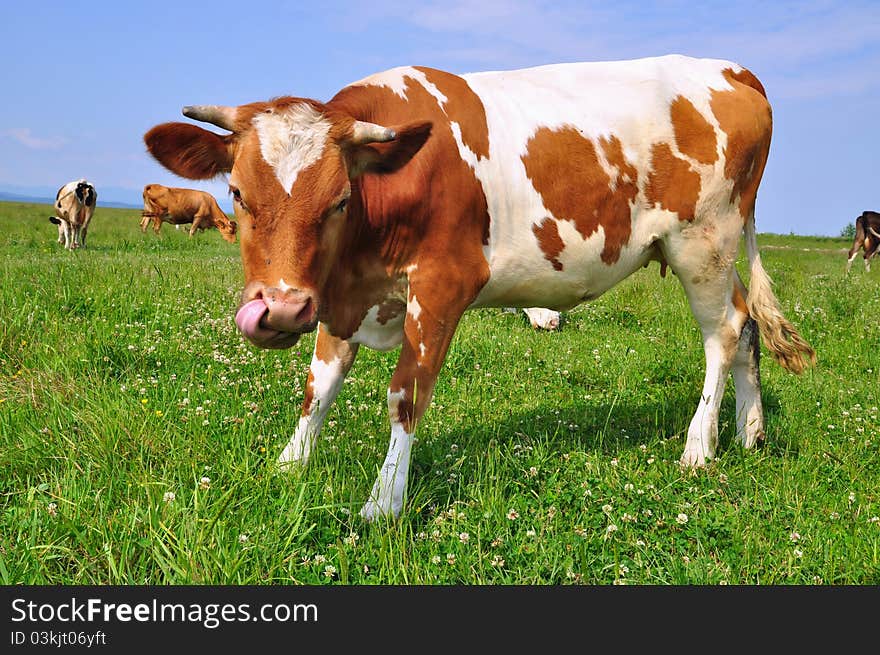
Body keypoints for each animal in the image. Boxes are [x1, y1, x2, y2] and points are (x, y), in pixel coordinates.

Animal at [146, 53, 820, 520]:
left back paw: (699, 447)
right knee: (748, 324)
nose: (281, 311)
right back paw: (751, 433)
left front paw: (384, 502)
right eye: (237, 192)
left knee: (723, 332)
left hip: (703, 240)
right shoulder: (341, 293)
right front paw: (290, 465)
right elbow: (320, 386)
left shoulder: (444, 282)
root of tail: (730, 69)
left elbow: (405, 395)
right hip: (718, 249)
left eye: (339, 199)